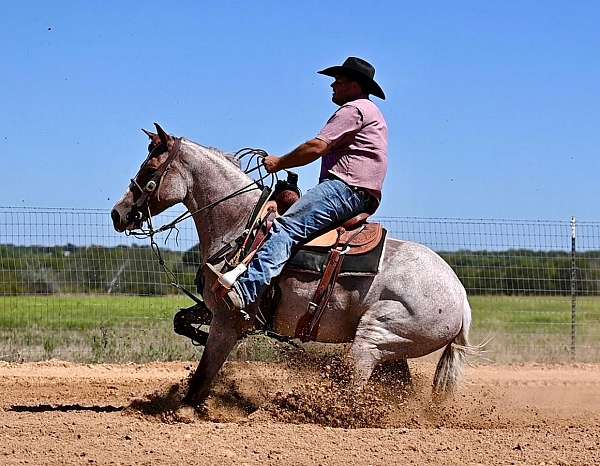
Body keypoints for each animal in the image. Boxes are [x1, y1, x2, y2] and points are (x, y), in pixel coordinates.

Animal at [111, 124, 478, 404]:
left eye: (149, 170)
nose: (118, 213)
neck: (241, 223)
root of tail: (461, 302)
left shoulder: (229, 320)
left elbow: (202, 379)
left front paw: (182, 411)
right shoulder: (212, 307)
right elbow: (180, 321)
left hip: (374, 337)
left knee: (354, 388)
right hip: (393, 351)